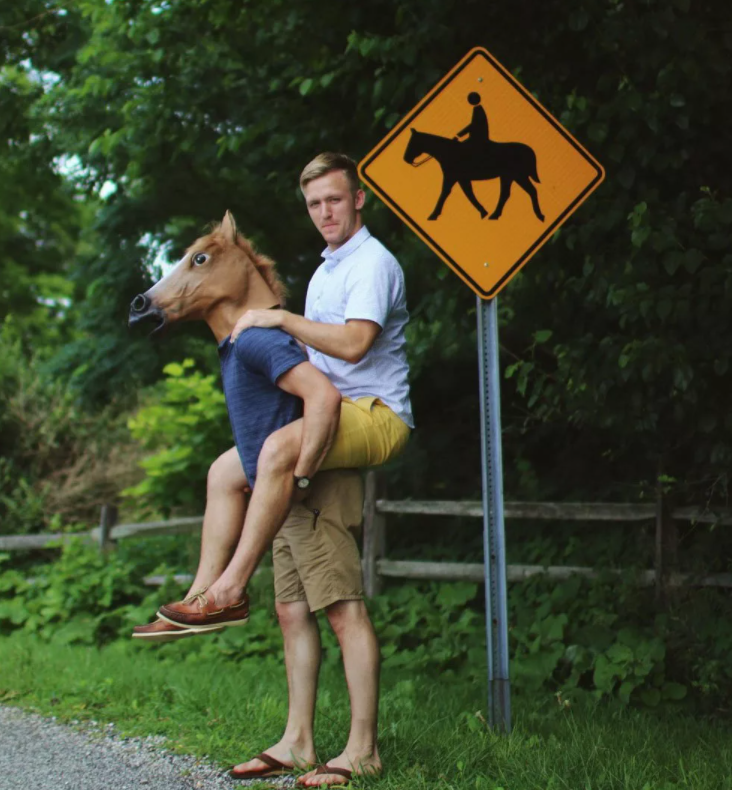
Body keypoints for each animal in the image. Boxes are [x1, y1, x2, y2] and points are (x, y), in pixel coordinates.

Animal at [403, 128, 544, 223]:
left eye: (412, 142)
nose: (405, 159)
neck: (448, 152)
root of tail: (528, 150)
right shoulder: (461, 178)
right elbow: (468, 193)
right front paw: (483, 212)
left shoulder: (453, 177)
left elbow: (446, 193)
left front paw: (433, 215)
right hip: (510, 176)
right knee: (513, 193)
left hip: (517, 176)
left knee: (526, 191)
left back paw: (538, 216)